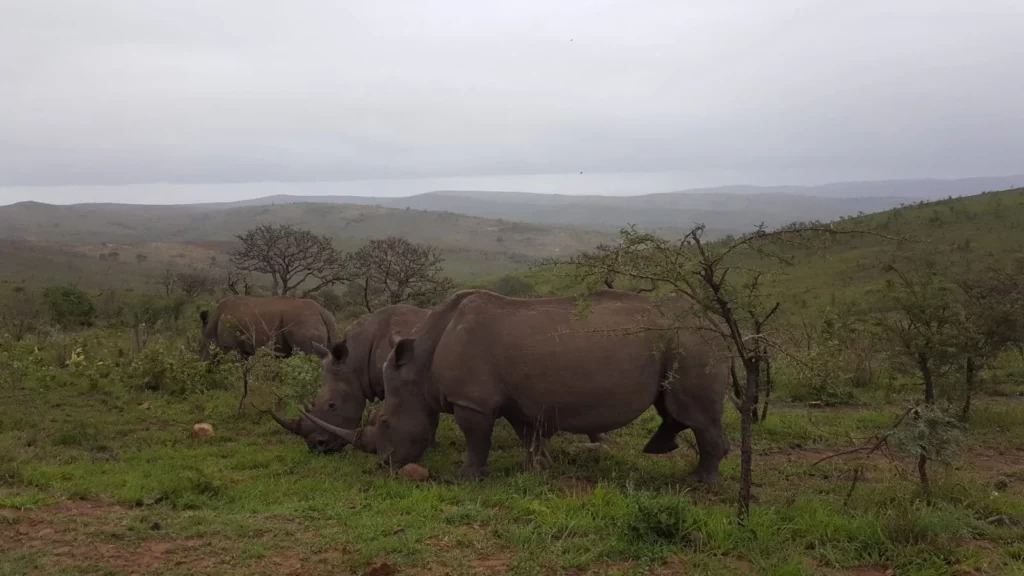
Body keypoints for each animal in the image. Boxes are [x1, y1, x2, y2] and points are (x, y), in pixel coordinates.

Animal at [198, 295, 338, 361]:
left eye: (201, 351)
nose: (202, 361)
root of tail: (322, 312)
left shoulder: (230, 346)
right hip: (323, 323)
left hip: (304, 322)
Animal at [300, 289, 730, 483]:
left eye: (386, 423)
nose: (384, 464)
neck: (419, 369)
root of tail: (714, 320)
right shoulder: (520, 401)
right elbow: (529, 436)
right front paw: (539, 469)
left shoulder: (472, 400)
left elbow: (476, 438)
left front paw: (465, 477)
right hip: (685, 340)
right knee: (672, 408)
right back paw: (662, 449)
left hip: (691, 341)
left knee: (693, 414)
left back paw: (699, 483)